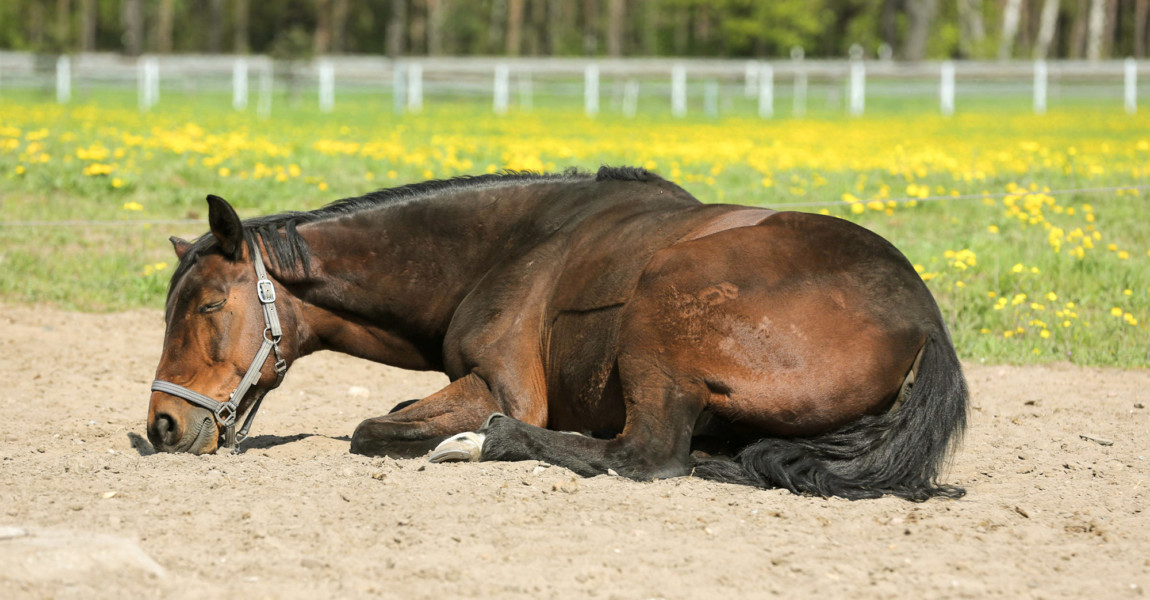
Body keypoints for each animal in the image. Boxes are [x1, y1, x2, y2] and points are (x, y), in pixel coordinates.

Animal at [146, 165, 970, 496]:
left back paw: (485, 443)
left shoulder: (500, 387)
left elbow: (371, 429)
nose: (162, 425)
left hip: (662, 309)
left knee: (646, 456)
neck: (511, 246)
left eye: (208, 308)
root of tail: (923, 319)